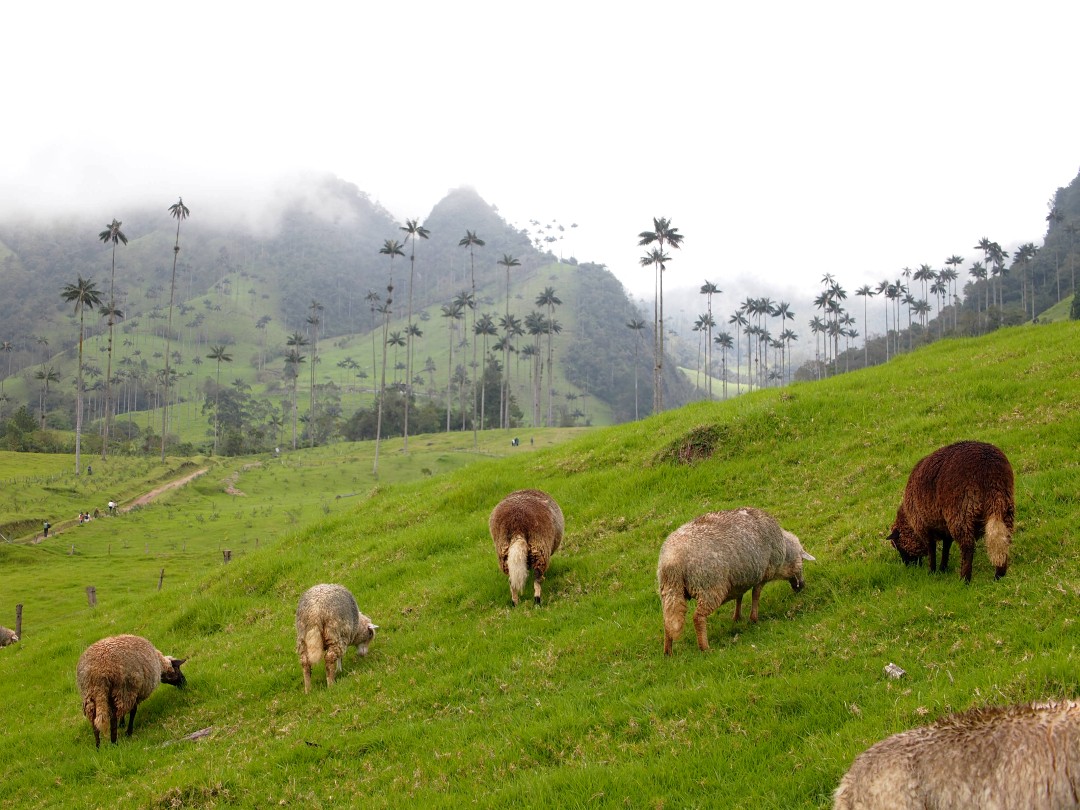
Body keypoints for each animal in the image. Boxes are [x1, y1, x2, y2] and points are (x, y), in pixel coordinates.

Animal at [885, 444, 1010, 583]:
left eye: (898, 546)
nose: (908, 566)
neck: (910, 521)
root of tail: (989, 468)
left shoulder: (924, 526)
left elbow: (932, 549)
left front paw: (932, 571)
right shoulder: (944, 526)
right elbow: (946, 547)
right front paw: (943, 568)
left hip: (962, 511)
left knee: (968, 547)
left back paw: (965, 579)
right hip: (1003, 504)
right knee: (1003, 538)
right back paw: (999, 574)